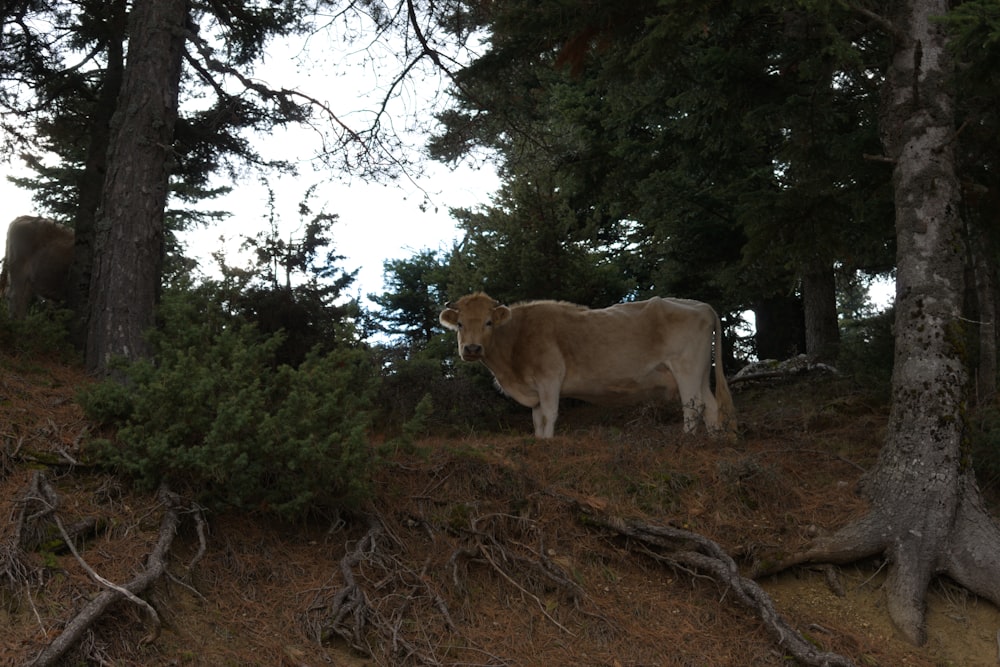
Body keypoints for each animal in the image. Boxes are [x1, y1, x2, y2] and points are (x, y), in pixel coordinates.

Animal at [442, 292, 740, 438]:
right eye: (460, 324)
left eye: (488, 322)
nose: (472, 349)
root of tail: (700, 305)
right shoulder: (535, 389)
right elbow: (537, 419)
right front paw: (539, 441)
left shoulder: (550, 377)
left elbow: (549, 415)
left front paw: (548, 442)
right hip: (701, 370)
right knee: (711, 406)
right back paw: (714, 441)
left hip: (685, 366)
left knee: (693, 405)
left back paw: (687, 440)